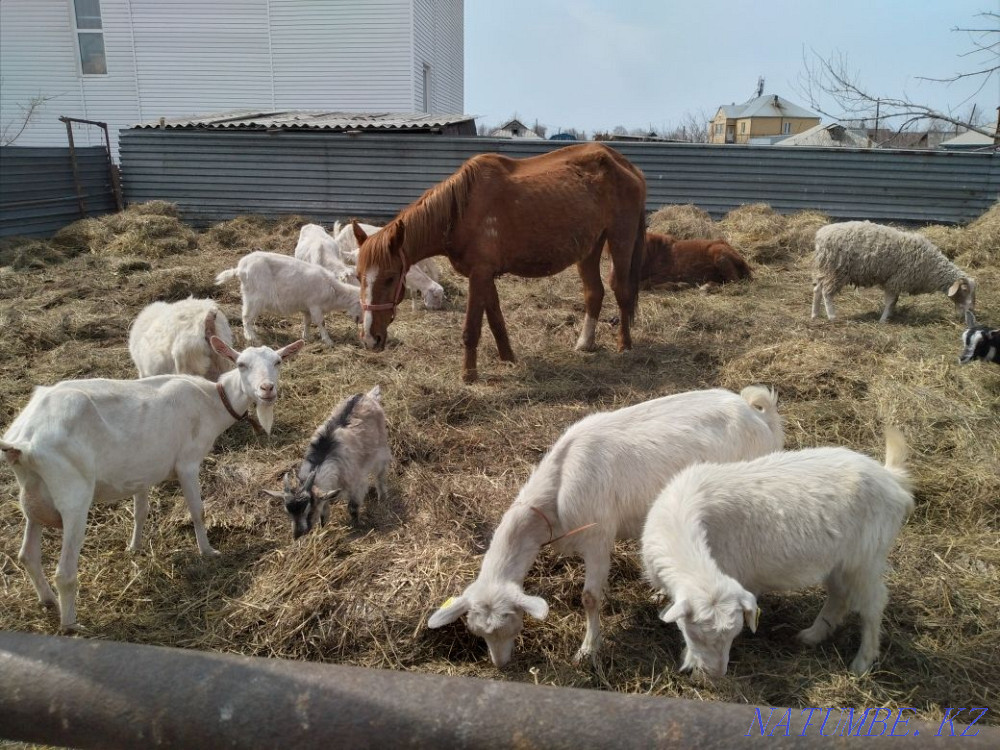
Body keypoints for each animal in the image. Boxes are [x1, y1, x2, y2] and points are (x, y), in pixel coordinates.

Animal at [0, 336, 305, 631]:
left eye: (278, 361)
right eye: (241, 364)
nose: (267, 389)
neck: (211, 401)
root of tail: (23, 439)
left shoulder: (141, 472)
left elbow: (140, 512)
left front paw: (134, 548)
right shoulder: (187, 462)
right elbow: (197, 511)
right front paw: (208, 551)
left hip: (34, 494)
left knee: (28, 555)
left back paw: (48, 600)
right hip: (73, 494)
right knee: (64, 571)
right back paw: (71, 624)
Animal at [215, 250, 361, 347]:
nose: (359, 321)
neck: (332, 290)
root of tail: (239, 269)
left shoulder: (306, 308)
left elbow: (307, 322)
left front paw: (306, 337)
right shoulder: (315, 305)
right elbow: (321, 322)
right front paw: (328, 341)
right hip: (254, 297)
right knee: (246, 317)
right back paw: (251, 337)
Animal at [264, 385, 390, 535]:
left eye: (309, 511)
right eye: (288, 512)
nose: (297, 535)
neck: (322, 458)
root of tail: (367, 396)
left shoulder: (356, 484)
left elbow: (353, 507)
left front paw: (357, 525)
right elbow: (324, 508)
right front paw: (323, 525)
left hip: (380, 449)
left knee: (380, 474)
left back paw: (382, 497)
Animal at [427, 386, 783, 667]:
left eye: (509, 624)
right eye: (477, 631)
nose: (500, 665)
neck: (556, 488)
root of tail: (757, 414)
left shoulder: (598, 538)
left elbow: (589, 598)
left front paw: (588, 650)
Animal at [642, 428, 913, 677]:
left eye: (733, 634)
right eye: (695, 633)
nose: (716, 675)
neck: (682, 519)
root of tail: (890, 478)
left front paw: (689, 662)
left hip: (866, 558)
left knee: (873, 605)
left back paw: (862, 662)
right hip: (839, 561)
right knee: (840, 595)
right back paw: (813, 635)